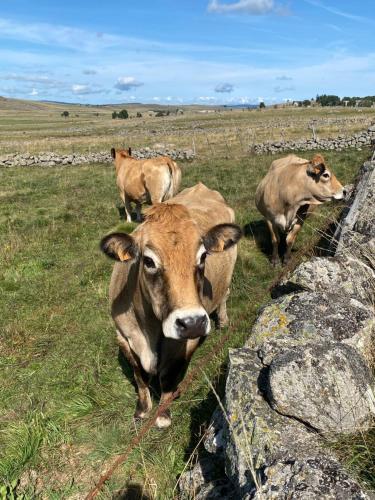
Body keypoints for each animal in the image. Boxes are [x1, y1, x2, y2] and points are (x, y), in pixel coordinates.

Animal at [100, 184, 241, 430]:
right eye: (148, 261)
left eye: (203, 256)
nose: (192, 322)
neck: (149, 330)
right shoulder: (122, 335)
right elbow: (139, 375)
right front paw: (141, 410)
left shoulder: (187, 342)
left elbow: (168, 375)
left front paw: (162, 414)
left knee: (224, 294)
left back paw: (223, 321)